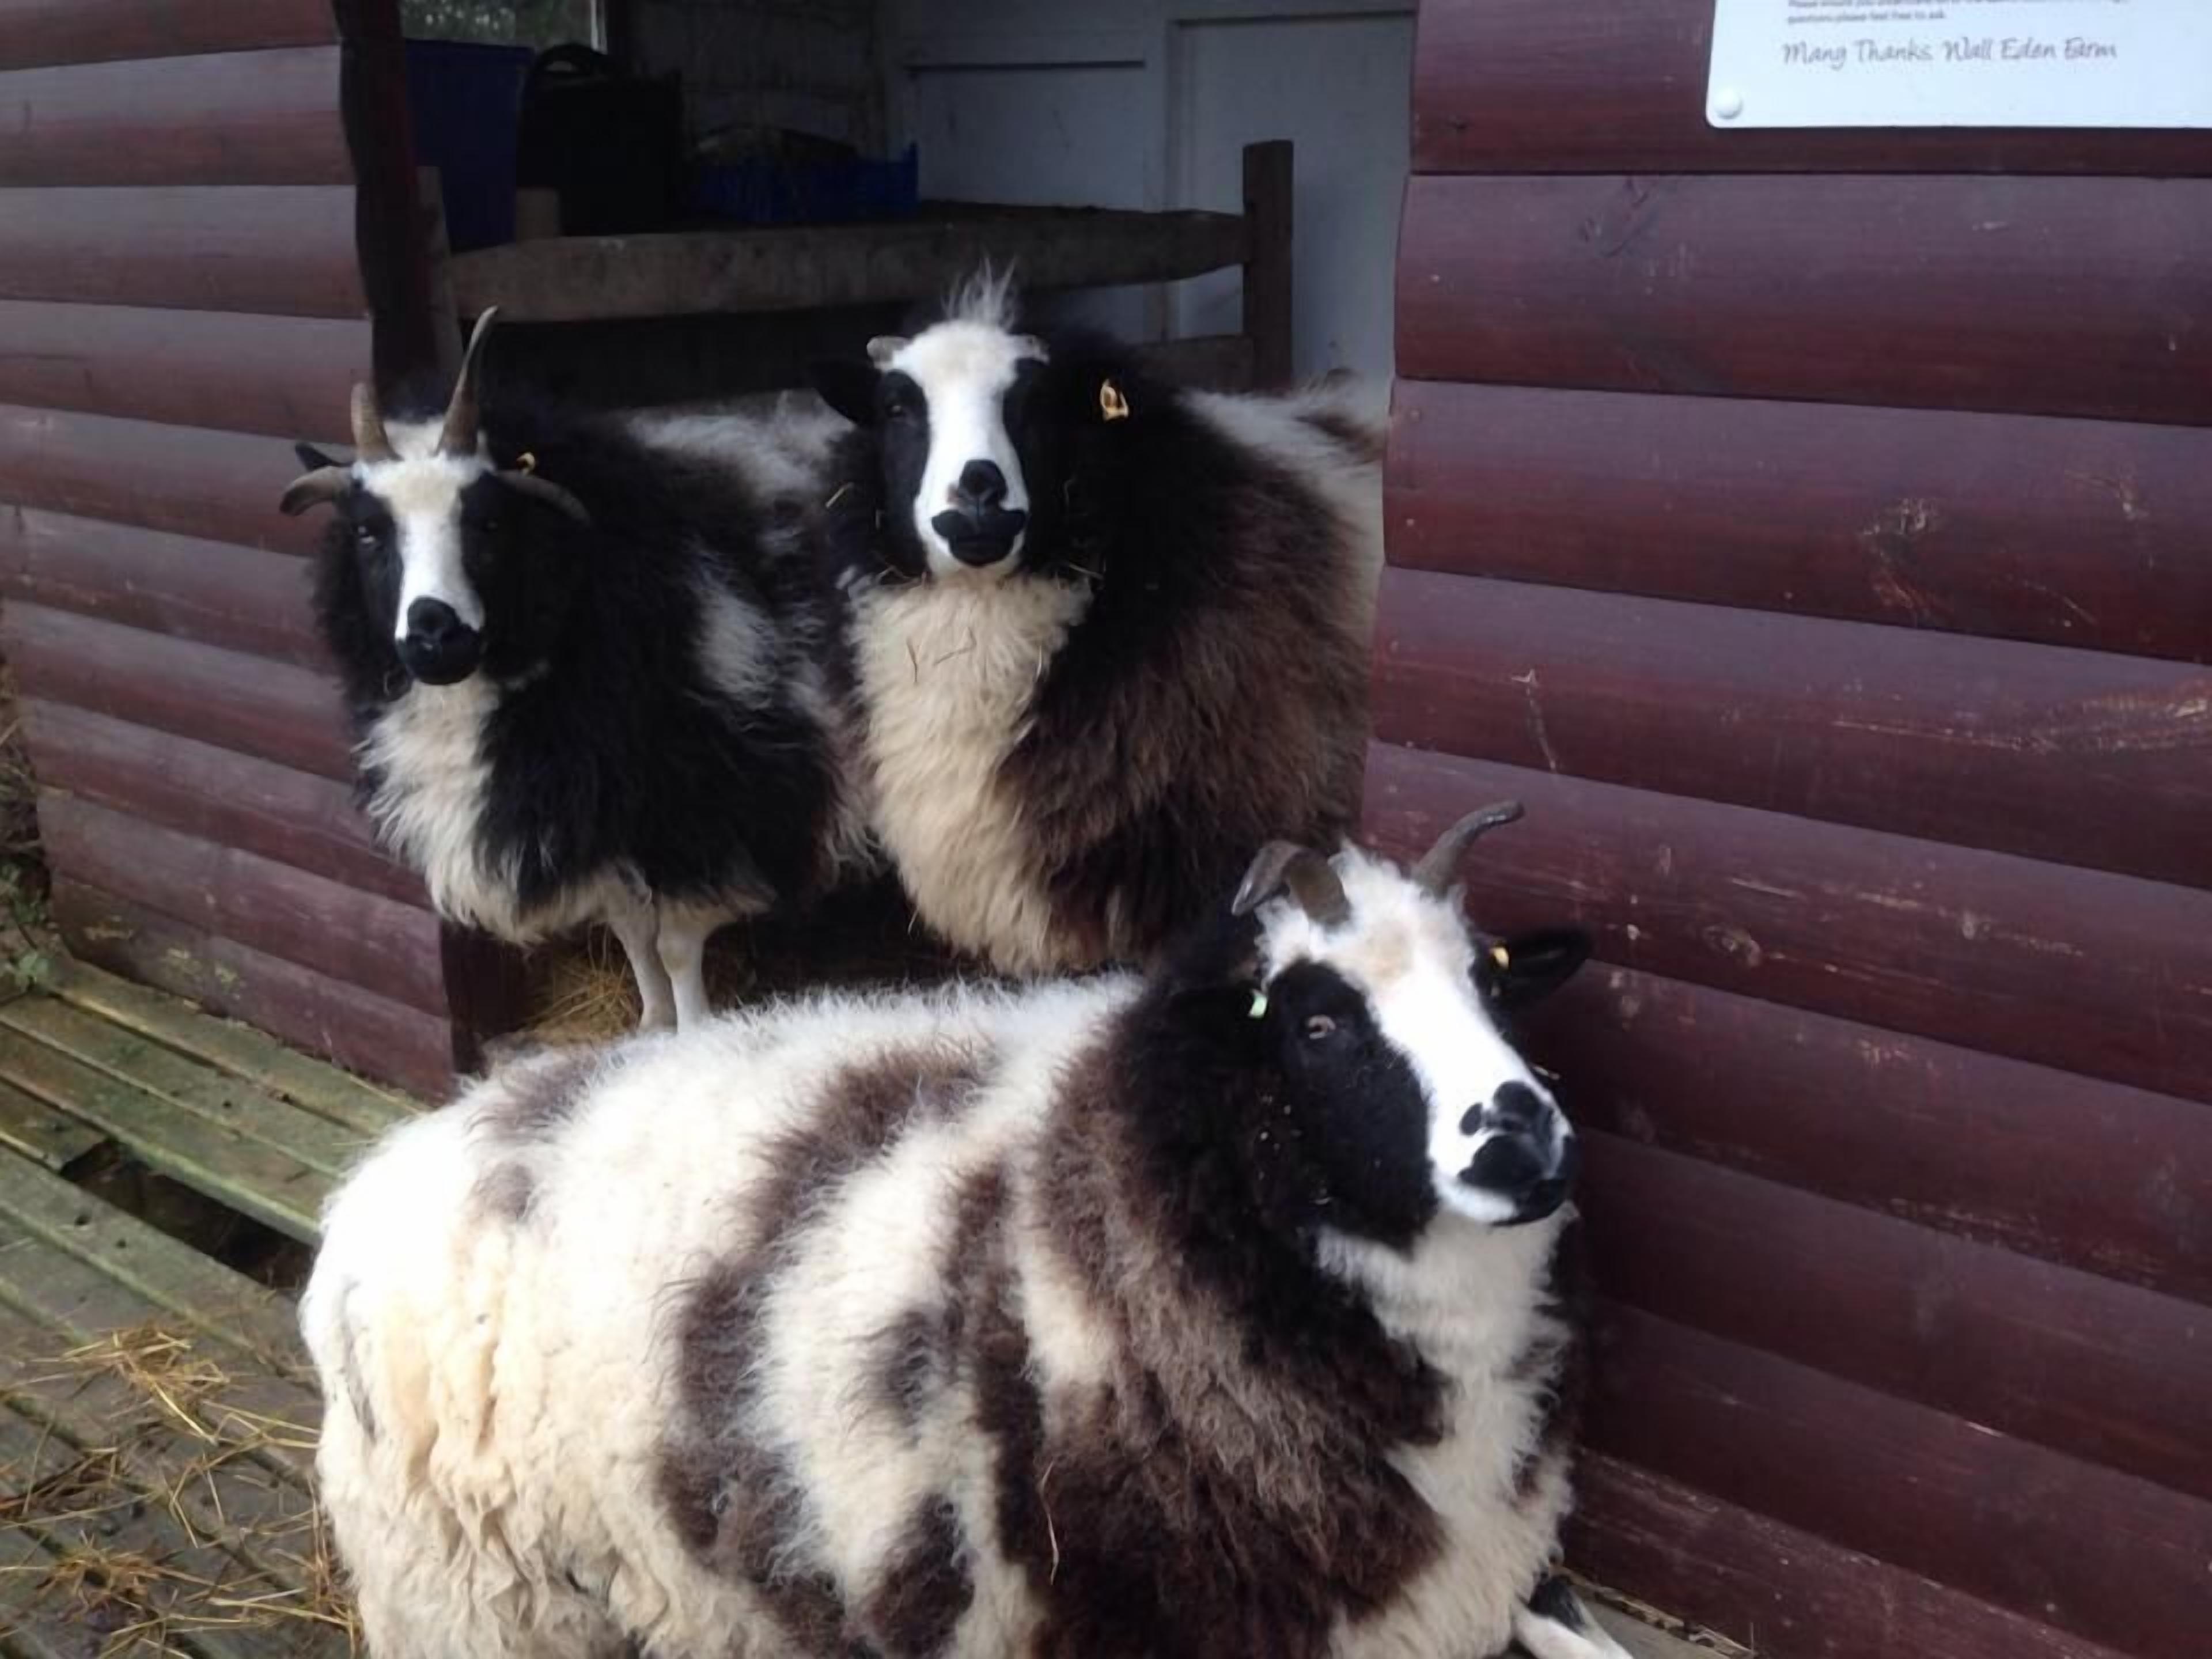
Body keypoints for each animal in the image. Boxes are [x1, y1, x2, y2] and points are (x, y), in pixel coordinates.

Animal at [280, 311, 864, 1031]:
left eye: (490, 521)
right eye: (367, 533)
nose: (434, 633)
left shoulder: (702, 811)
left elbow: (674, 945)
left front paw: (693, 1035)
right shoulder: (598, 818)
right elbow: (633, 934)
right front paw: (649, 1029)